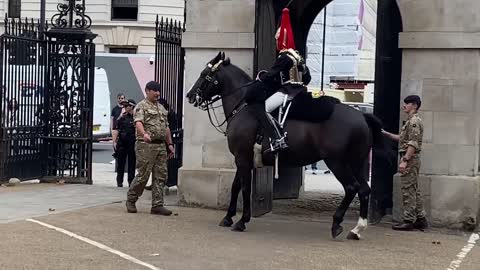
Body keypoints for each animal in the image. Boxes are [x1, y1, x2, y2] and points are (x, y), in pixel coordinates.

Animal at [186, 52, 388, 240]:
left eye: (205, 74)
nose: (190, 96)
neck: (243, 106)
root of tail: (362, 116)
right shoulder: (243, 158)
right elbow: (236, 186)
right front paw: (228, 218)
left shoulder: (242, 157)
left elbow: (244, 188)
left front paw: (242, 221)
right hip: (357, 162)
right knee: (364, 189)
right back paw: (356, 229)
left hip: (337, 162)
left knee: (351, 187)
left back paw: (336, 224)